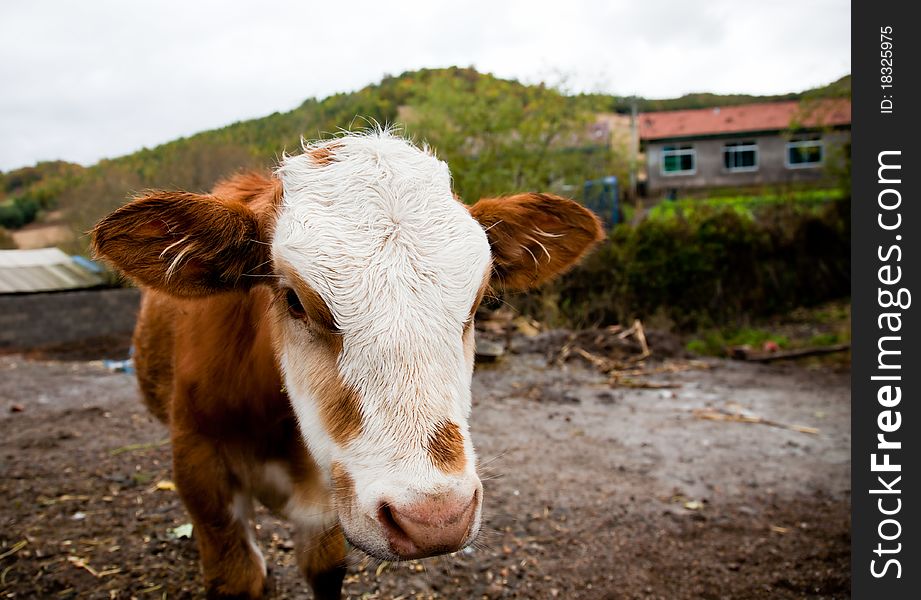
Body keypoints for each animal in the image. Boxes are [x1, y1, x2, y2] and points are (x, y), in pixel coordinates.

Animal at [93, 130, 604, 596]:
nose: (434, 518)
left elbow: (325, 570)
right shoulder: (199, 468)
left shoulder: (330, 499)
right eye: (294, 300)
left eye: (478, 302)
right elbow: (239, 575)